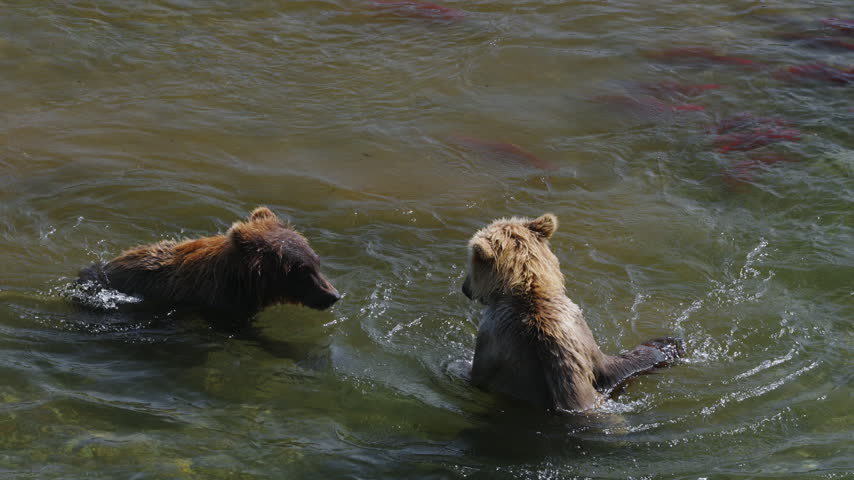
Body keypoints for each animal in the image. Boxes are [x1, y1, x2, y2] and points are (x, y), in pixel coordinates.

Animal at [461, 213, 682, 412]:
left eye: (470, 263)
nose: (465, 288)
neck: (528, 289)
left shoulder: (492, 337)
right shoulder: (579, 332)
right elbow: (615, 367)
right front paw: (667, 344)